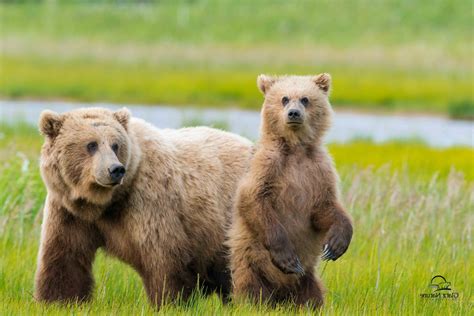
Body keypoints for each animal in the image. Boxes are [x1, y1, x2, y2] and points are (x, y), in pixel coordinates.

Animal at [35, 107, 254, 308]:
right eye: (91, 144)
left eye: (115, 145)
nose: (115, 169)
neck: (104, 203)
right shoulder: (68, 210)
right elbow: (64, 256)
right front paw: (57, 300)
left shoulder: (149, 202)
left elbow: (163, 260)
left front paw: (168, 302)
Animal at [228, 73, 354, 306]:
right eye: (284, 98)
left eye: (305, 99)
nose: (293, 113)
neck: (296, 149)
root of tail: (282, 294)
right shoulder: (268, 166)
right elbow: (254, 201)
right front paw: (287, 259)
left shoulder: (318, 169)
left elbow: (325, 206)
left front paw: (335, 245)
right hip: (251, 263)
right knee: (252, 289)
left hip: (307, 278)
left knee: (313, 296)